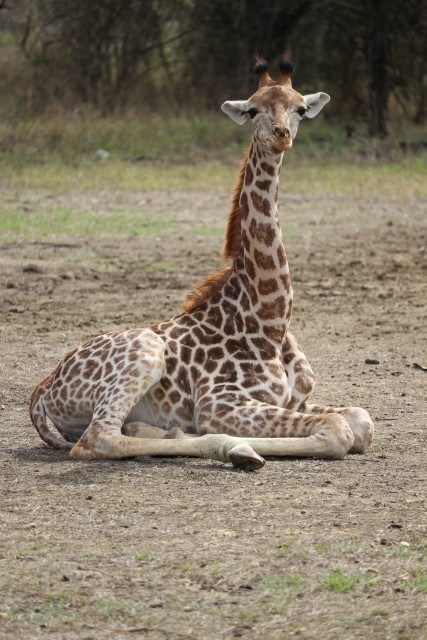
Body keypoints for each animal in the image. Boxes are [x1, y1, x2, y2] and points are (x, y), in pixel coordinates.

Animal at [29, 58, 374, 471]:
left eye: (301, 108)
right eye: (253, 109)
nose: (281, 135)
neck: (271, 321)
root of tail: (42, 388)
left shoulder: (297, 400)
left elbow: (361, 422)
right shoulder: (221, 404)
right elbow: (338, 430)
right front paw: (237, 446)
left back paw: (157, 430)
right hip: (144, 351)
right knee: (98, 438)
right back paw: (233, 449)